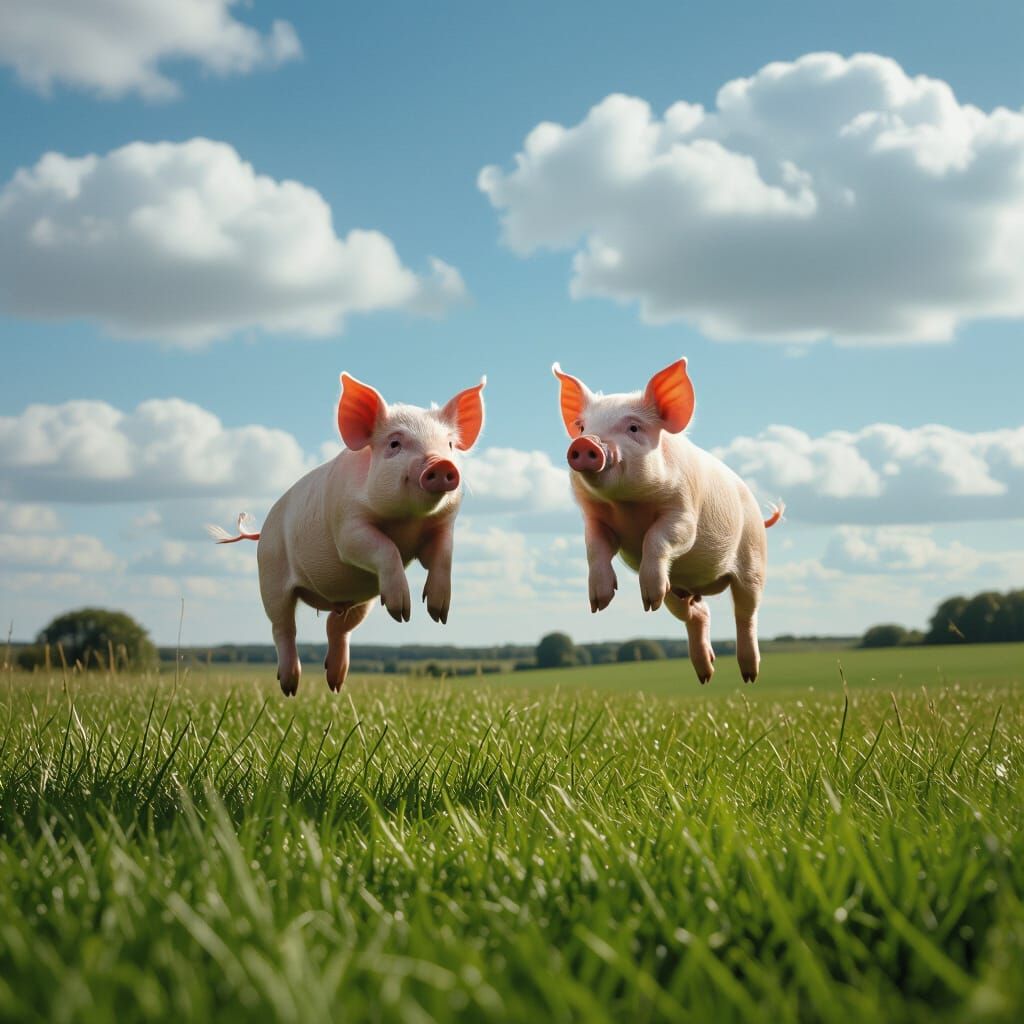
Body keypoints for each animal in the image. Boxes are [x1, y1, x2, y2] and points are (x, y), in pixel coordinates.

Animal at [209, 372, 485, 696]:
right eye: (395, 443)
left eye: (451, 444)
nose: (441, 464)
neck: (407, 522)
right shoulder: (347, 526)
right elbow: (382, 546)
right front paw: (402, 612)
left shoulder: (442, 527)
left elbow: (443, 556)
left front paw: (438, 615)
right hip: (270, 574)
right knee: (283, 626)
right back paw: (290, 686)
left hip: (360, 597)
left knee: (337, 626)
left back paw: (335, 683)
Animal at [552, 358, 782, 685]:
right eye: (582, 427)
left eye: (634, 427)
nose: (585, 443)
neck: (627, 505)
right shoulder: (594, 520)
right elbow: (595, 550)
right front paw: (600, 603)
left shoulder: (684, 512)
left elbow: (659, 536)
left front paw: (644, 599)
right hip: (676, 590)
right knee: (698, 614)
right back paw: (704, 673)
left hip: (753, 561)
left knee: (746, 614)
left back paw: (749, 675)